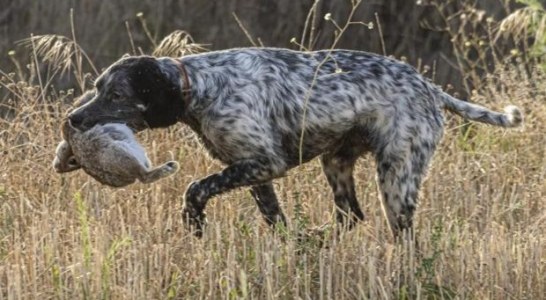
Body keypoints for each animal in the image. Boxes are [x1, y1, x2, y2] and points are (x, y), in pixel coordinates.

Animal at [66, 48, 520, 238]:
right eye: (97, 87)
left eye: (116, 94)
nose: (73, 119)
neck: (202, 86)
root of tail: (429, 88)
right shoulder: (253, 171)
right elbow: (275, 220)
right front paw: (291, 244)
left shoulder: (266, 163)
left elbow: (195, 187)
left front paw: (194, 223)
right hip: (337, 163)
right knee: (350, 216)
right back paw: (316, 237)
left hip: (397, 176)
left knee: (399, 232)